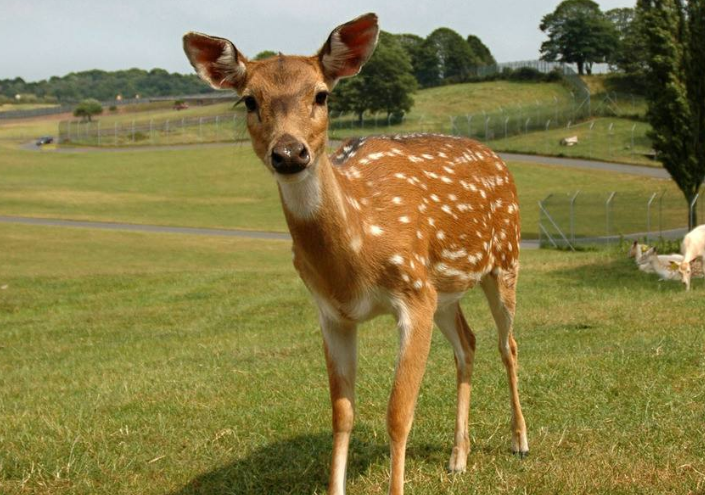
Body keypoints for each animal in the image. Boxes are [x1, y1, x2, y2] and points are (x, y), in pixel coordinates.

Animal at [184, 12, 524, 495]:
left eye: (322, 94)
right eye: (248, 101)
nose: (289, 152)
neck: (357, 258)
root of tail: (498, 157)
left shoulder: (413, 294)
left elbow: (398, 415)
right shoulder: (332, 313)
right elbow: (342, 415)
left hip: (505, 260)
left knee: (507, 342)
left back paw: (520, 441)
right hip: (444, 291)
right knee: (468, 343)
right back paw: (458, 457)